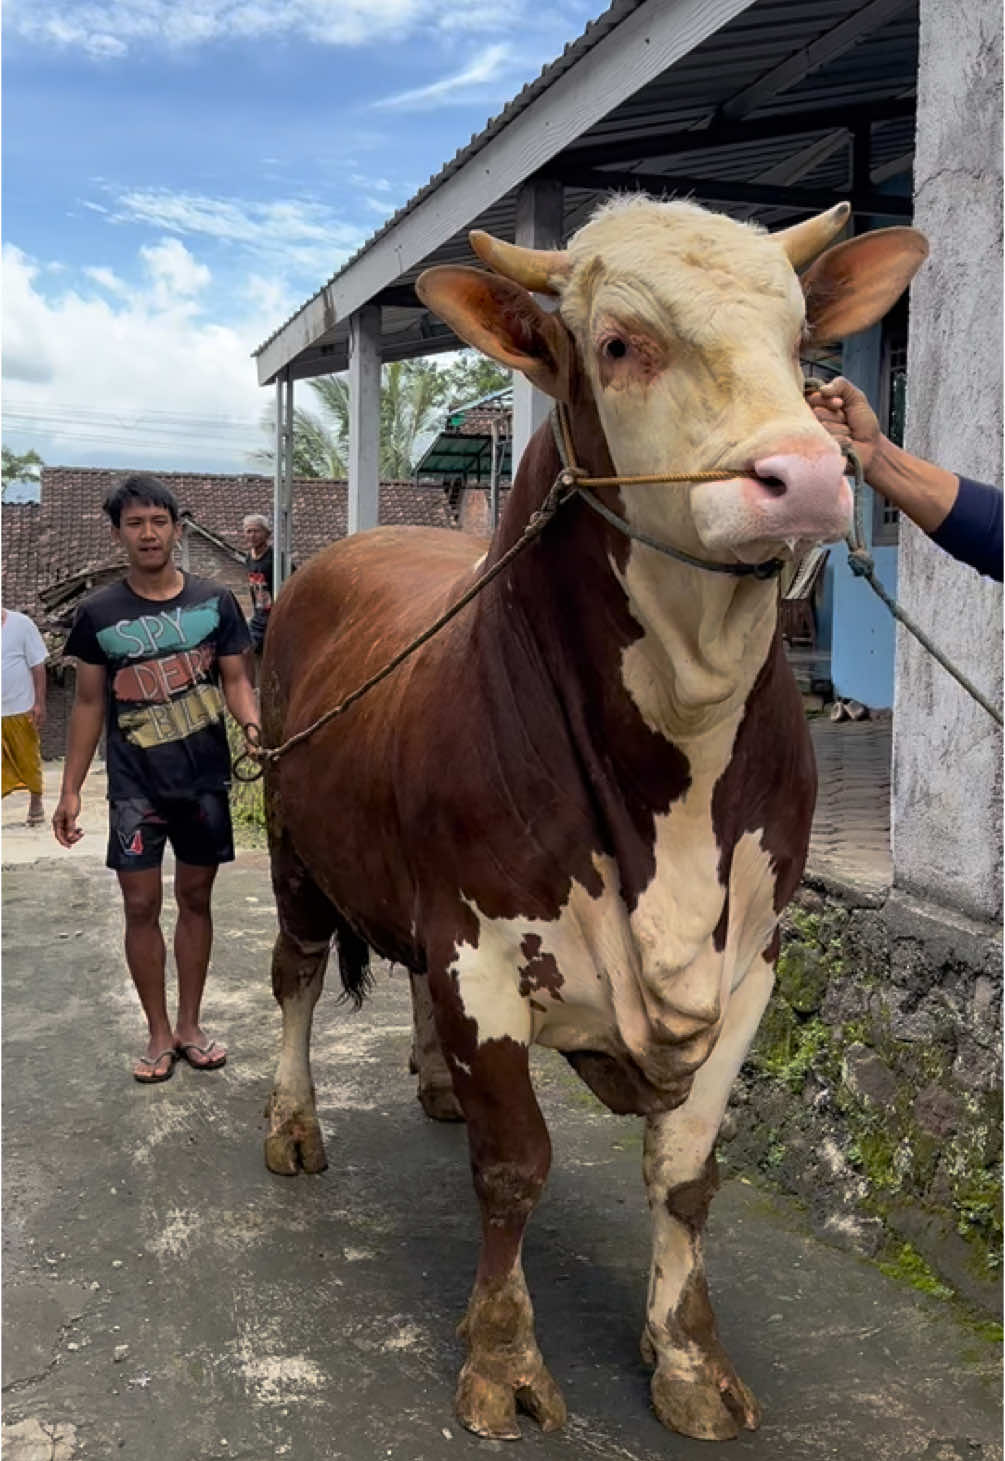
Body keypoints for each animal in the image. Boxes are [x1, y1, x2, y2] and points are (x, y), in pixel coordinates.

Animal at [259, 197, 927, 1443]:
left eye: (805, 338)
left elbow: (687, 1169)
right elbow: (516, 1164)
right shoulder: (477, 946)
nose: (808, 475)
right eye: (619, 344)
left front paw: (688, 1357)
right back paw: (291, 1124)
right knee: (295, 980)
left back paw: (431, 1080)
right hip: (289, 849)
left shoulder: (754, 958)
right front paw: (504, 1360)